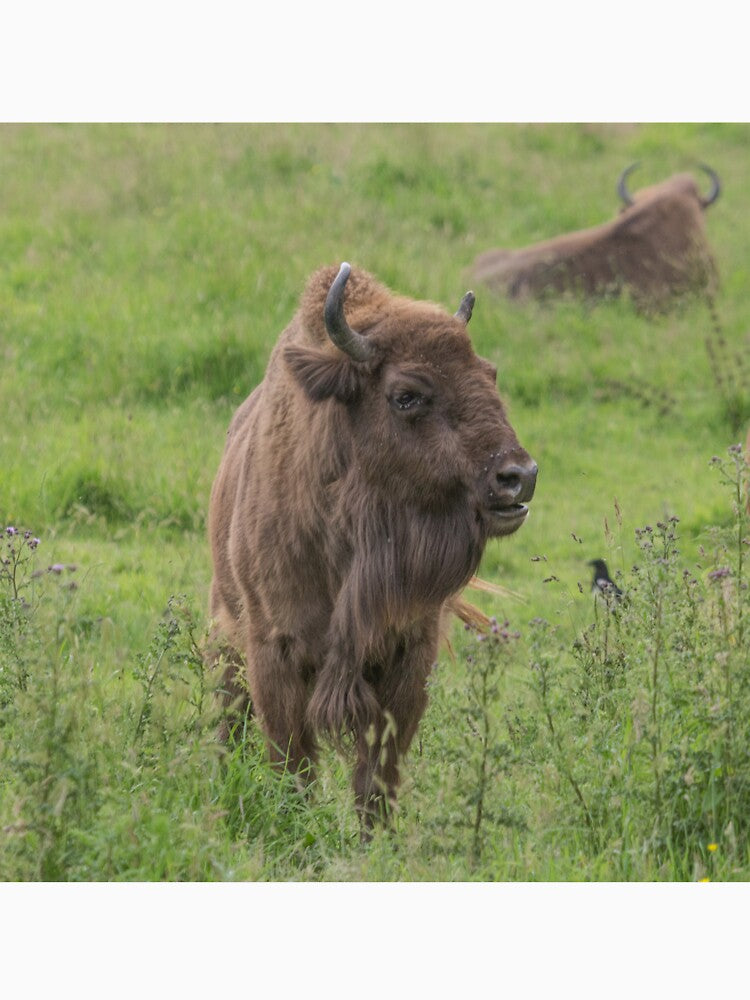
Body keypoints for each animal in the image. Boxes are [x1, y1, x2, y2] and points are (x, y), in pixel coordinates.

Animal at [208, 262, 537, 831]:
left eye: (489, 373)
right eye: (407, 394)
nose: (519, 476)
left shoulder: (407, 655)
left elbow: (377, 773)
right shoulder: (276, 649)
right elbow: (293, 763)